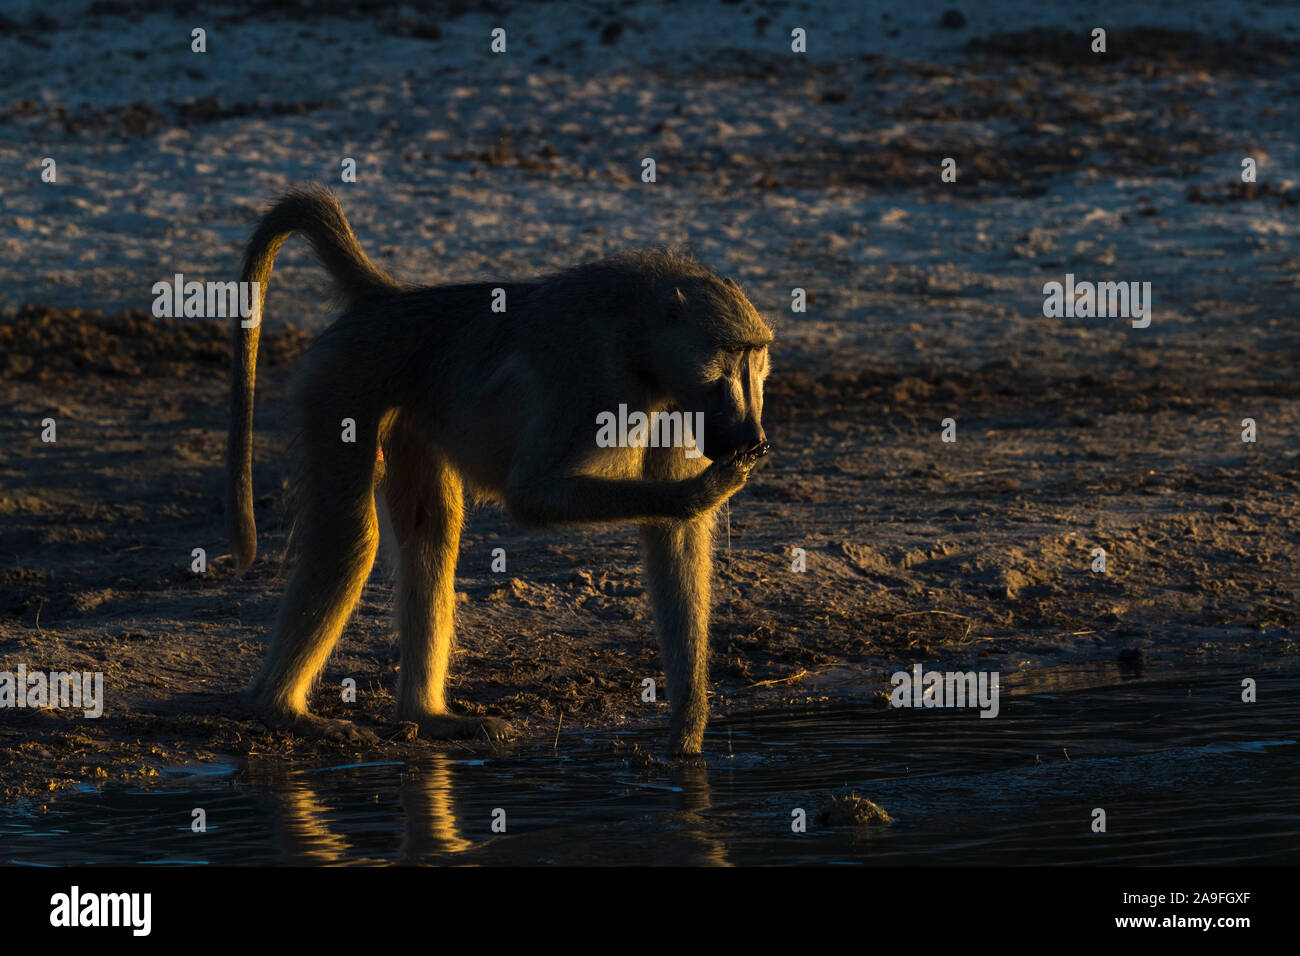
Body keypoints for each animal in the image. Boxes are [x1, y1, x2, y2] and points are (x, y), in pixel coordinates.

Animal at [228, 184, 772, 756]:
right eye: (730, 355)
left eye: (756, 356)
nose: (755, 438)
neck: (641, 340)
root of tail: (389, 300)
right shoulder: (591, 382)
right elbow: (531, 495)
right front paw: (707, 489)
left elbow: (674, 539)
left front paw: (687, 734)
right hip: (343, 378)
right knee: (350, 539)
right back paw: (282, 711)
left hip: (412, 412)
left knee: (431, 531)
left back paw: (426, 716)